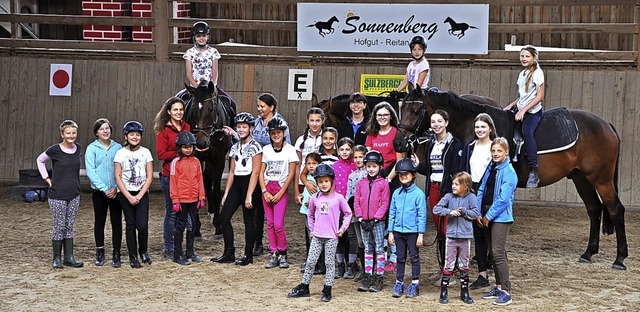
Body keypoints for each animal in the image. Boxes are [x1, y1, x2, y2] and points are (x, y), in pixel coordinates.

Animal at [182, 81, 235, 235]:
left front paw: (218, 226)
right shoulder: (197, 158)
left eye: (211, 109)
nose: (201, 142)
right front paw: (196, 229)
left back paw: (212, 213)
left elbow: (216, 192)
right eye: (193, 108)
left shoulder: (218, 160)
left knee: (207, 179)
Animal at [398, 86, 628, 270]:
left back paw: (620, 258)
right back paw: (589, 252)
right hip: (581, 178)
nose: (400, 142)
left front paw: (488, 260)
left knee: (615, 209)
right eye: (401, 108)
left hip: (601, 179)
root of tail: (605, 124)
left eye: (415, 111)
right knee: (594, 209)